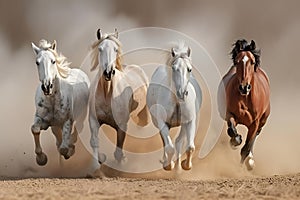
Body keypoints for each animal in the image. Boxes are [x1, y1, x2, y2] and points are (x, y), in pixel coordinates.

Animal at [89, 28, 150, 170]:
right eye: (100, 49)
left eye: (115, 49)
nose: (108, 72)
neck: (107, 94)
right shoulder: (94, 120)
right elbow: (94, 142)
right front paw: (96, 165)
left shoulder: (121, 125)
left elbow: (119, 148)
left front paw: (122, 161)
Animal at [217, 39, 270, 170]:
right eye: (237, 62)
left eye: (252, 62)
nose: (244, 87)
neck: (245, 98)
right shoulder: (230, 114)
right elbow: (232, 130)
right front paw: (236, 140)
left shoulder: (255, 123)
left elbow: (246, 148)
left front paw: (242, 167)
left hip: (262, 122)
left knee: (254, 138)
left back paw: (250, 161)